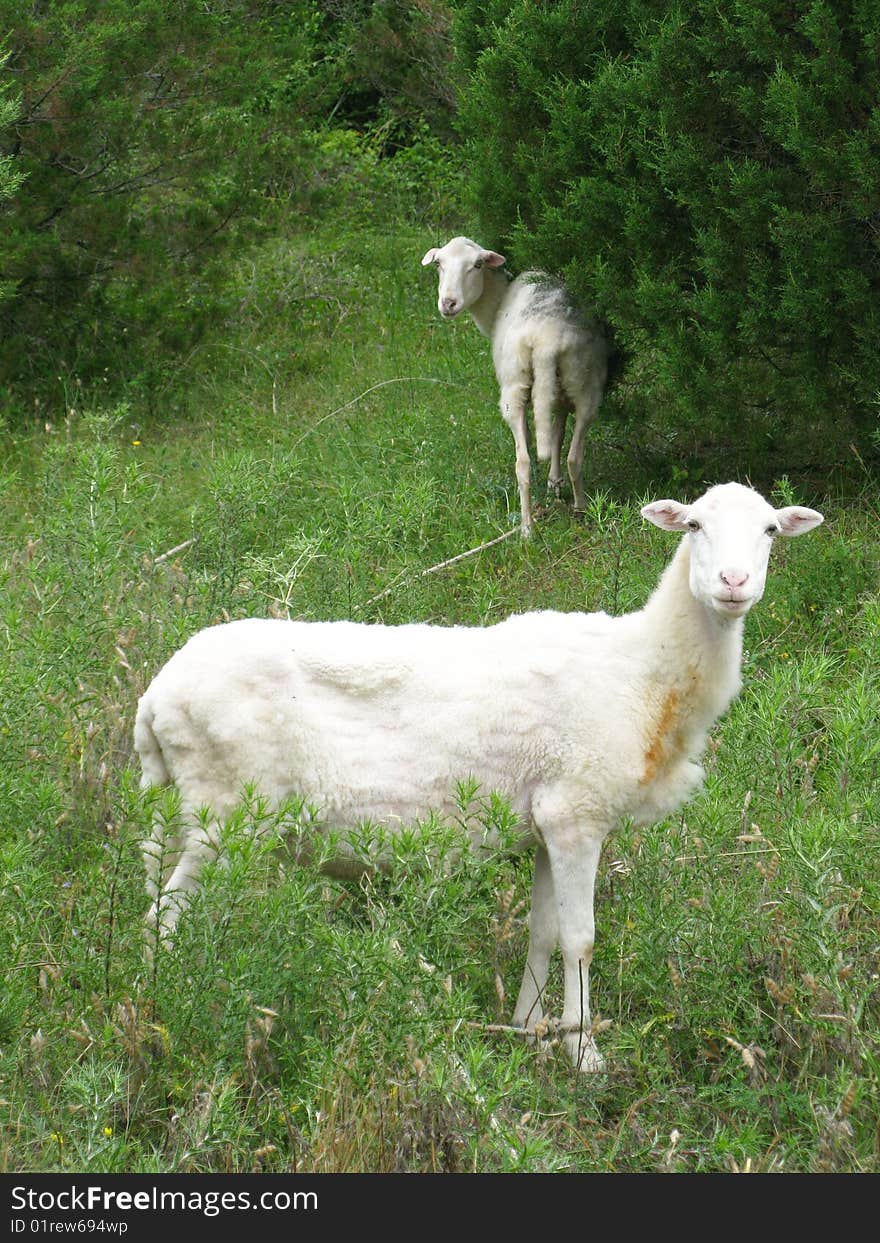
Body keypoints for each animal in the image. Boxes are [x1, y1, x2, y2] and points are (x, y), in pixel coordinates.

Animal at [134, 479, 820, 1073]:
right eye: (695, 525)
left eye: (769, 530)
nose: (734, 583)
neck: (647, 674)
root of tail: (155, 698)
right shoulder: (577, 814)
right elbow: (580, 937)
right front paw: (583, 1054)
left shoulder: (545, 823)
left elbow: (542, 931)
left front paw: (528, 1028)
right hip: (228, 812)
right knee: (164, 917)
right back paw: (167, 1013)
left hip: (193, 812)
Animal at [422, 234, 609, 536]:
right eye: (439, 264)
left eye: (477, 265)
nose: (448, 303)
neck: (496, 302)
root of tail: (546, 339)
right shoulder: (557, 394)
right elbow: (557, 433)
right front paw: (554, 484)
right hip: (584, 380)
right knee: (574, 455)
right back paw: (581, 509)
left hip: (513, 388)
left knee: (522, 463)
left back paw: (527, 529)